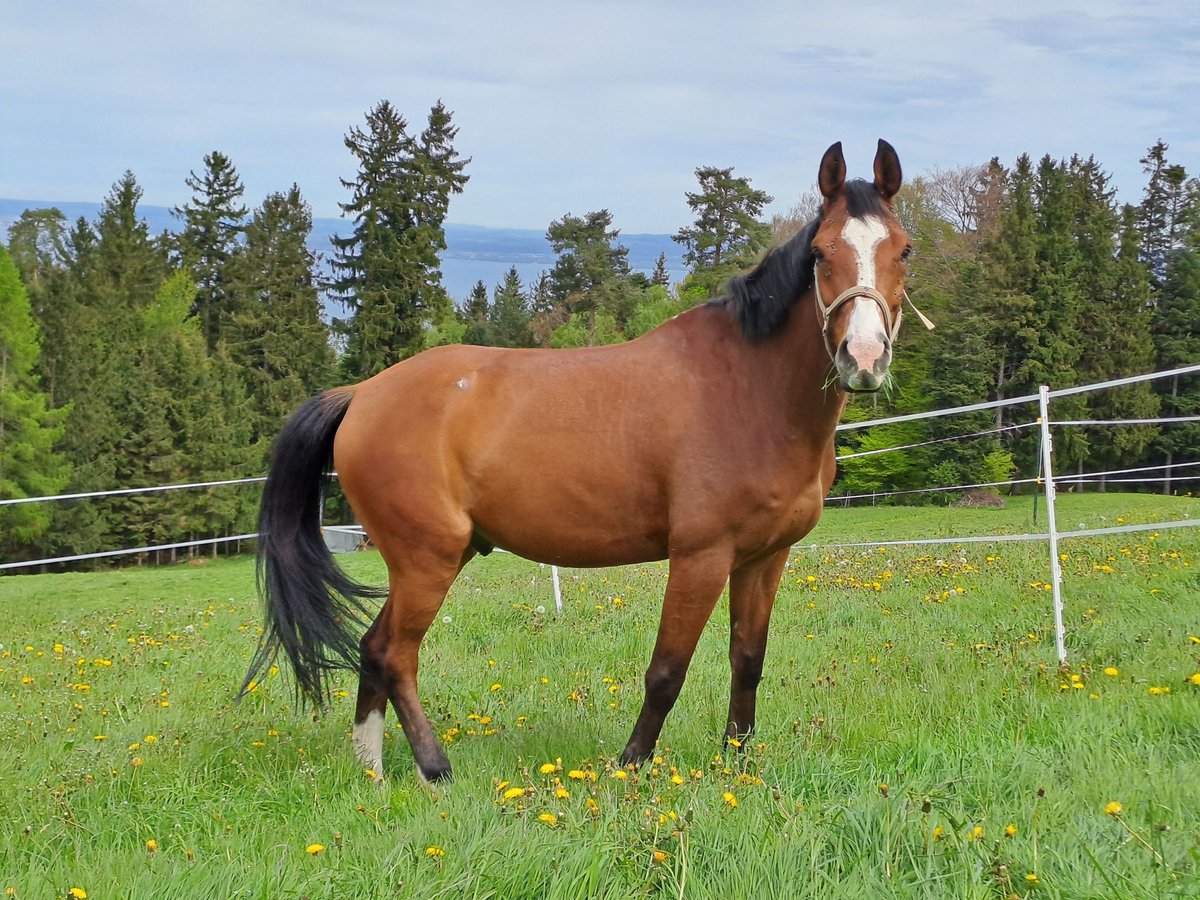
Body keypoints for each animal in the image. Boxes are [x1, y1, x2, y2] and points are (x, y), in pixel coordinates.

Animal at [248, 139, 912, 782]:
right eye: (821, 254)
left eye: (903, 250)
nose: (863, 357)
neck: (746, 389)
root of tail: (361, 394)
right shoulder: (701, 556)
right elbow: (666, 670)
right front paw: (631, 765)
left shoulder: (764, 557)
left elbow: (748, 658)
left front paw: (738, 763)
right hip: (425, 561)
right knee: (394, 654)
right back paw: (435, 768)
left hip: (437, 557)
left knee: (372, 647)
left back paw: (373, 771)